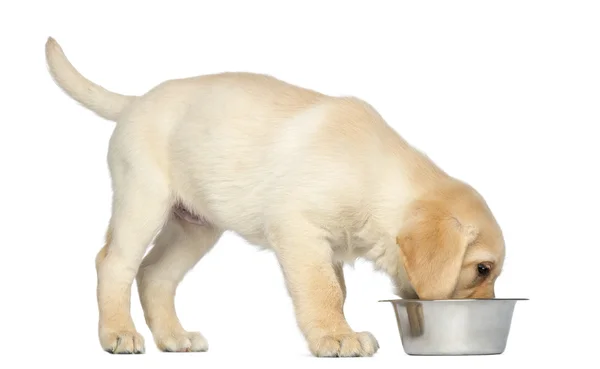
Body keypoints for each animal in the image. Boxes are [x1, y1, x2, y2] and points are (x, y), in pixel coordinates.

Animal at [44, 37, 506, 356]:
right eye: (482, 269)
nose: (491, 307)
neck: (377, 177)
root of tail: (135, 101)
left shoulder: (327, 247)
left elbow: (336, 289)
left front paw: (334, 331)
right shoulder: (299, 231)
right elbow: (324, 291)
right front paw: (337, 337)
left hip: (195, 226)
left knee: (154, 275)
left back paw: (174, 337)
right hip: (144, 201)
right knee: (114, 264)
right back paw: (118, 333)